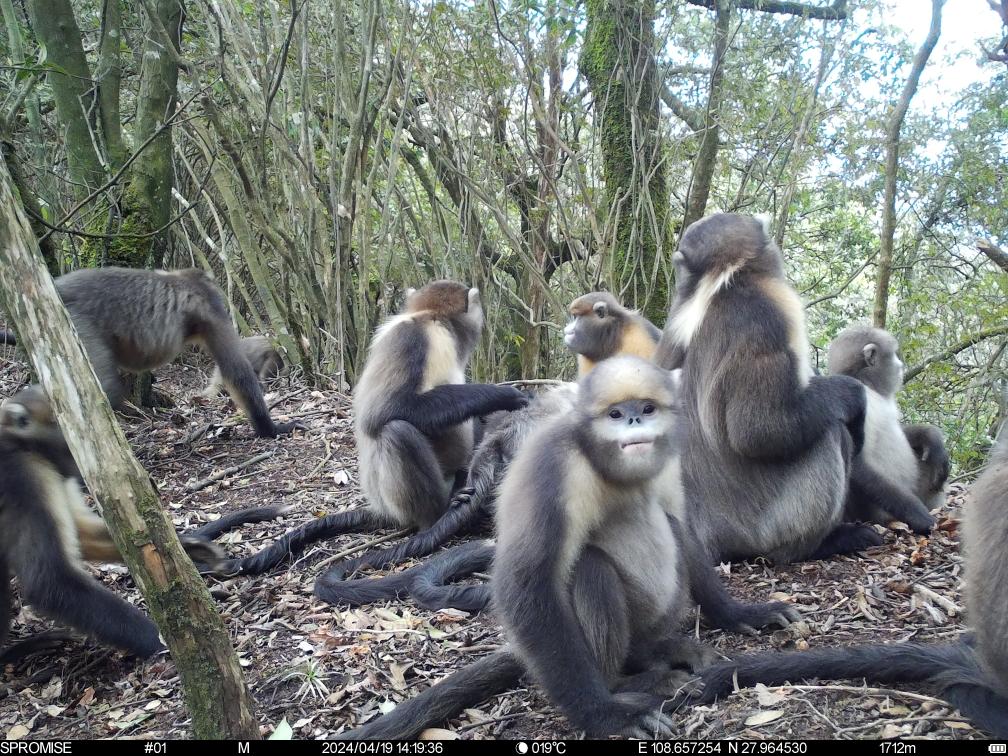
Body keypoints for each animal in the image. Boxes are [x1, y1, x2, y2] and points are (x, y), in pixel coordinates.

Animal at [0, 270, 296, 441]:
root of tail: (60, 288)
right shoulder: (211, 306)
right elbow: (236, 370)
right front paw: (271, 430)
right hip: (75, 322)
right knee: (102, 393)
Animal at [212, 284, 528, 580]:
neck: (431, 320)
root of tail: (381, 506)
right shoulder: (412, 337)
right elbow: (381, 412)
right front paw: (502, 395)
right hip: (399, 500)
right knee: (397, 431)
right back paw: (441, 511)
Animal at [653, 213, 874, 568]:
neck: (717, 286)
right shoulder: (762, 317)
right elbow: (757, 431)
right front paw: (853, 396)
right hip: (768, 527)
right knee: (830, 432)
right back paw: (818, 545)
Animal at [826, 328, 943, 536]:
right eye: (894, 354)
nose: (901, 365)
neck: (868, 386)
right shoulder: (855, 398)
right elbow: (856, 463)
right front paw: (917, 514)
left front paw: (931, 437)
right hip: (880, 512)